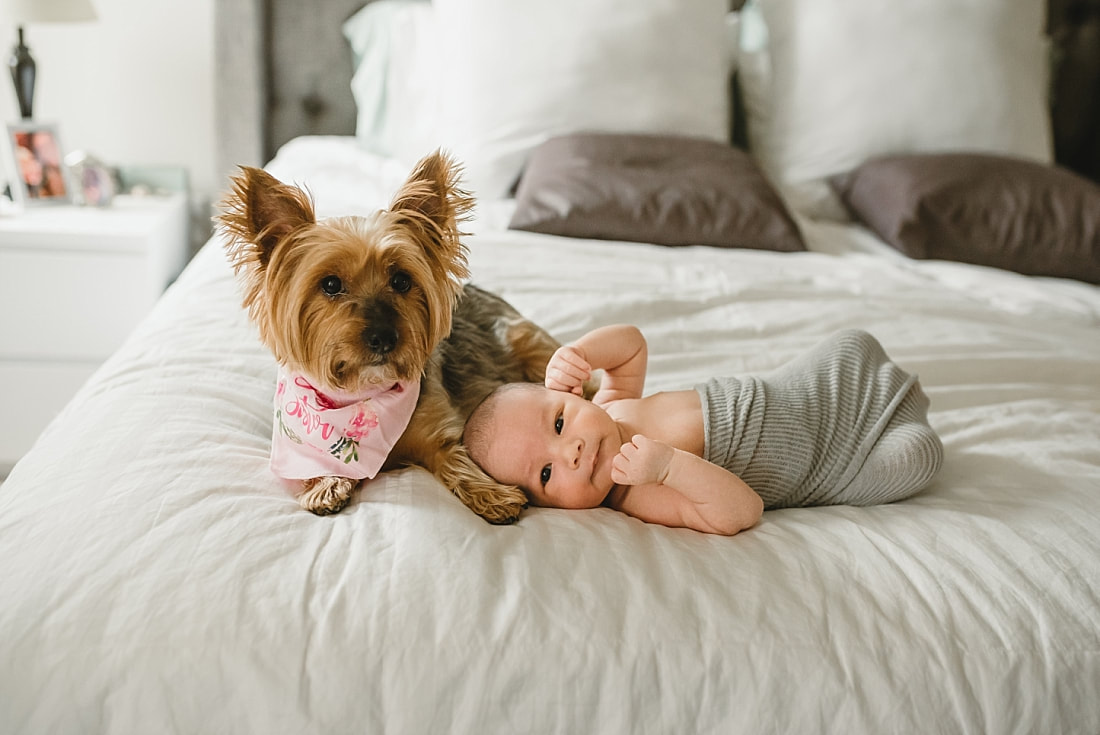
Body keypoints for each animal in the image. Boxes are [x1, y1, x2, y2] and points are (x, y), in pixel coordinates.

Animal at [216, 150, 558, 521]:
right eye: (330, 284)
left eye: (402, 280)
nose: (384, 338)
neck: (363, 391)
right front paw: (326, 484)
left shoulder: (439, 432)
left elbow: (457, 459)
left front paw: (493, 494)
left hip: (528, 343)